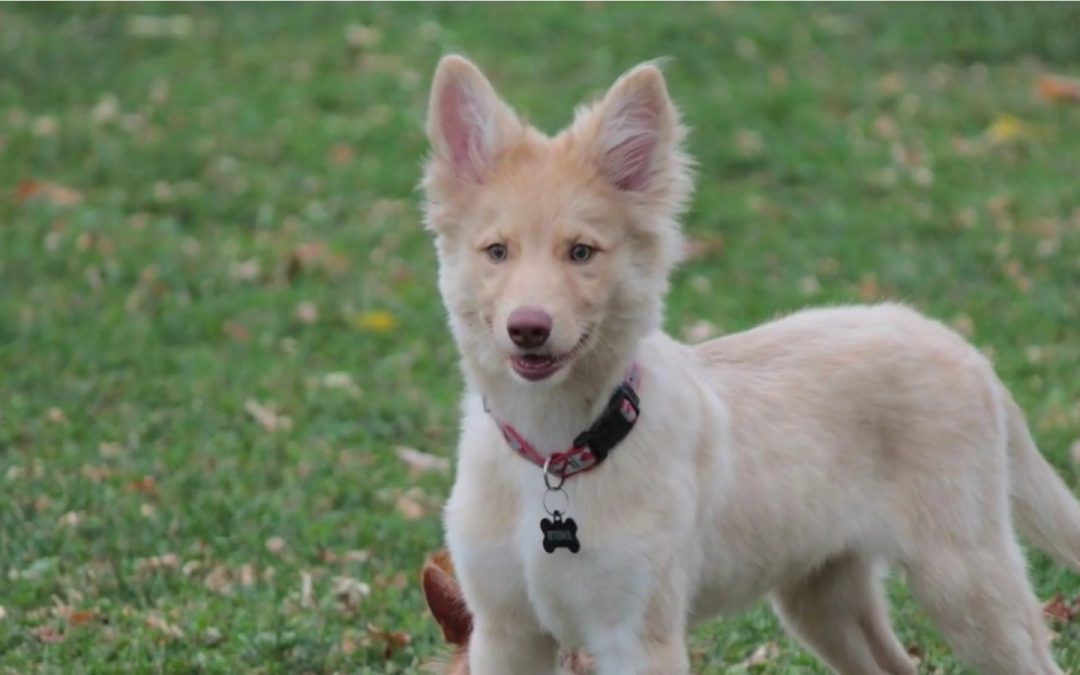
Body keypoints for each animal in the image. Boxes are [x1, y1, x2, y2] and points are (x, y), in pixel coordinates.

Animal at [419, 54, 1080, 673]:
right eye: (496, 252)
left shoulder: (638, 637)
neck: (557, 456)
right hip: (823, 598)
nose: (527, 329)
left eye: (581, 253)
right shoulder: (505, 634)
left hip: (966, 580)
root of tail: (961, 346)